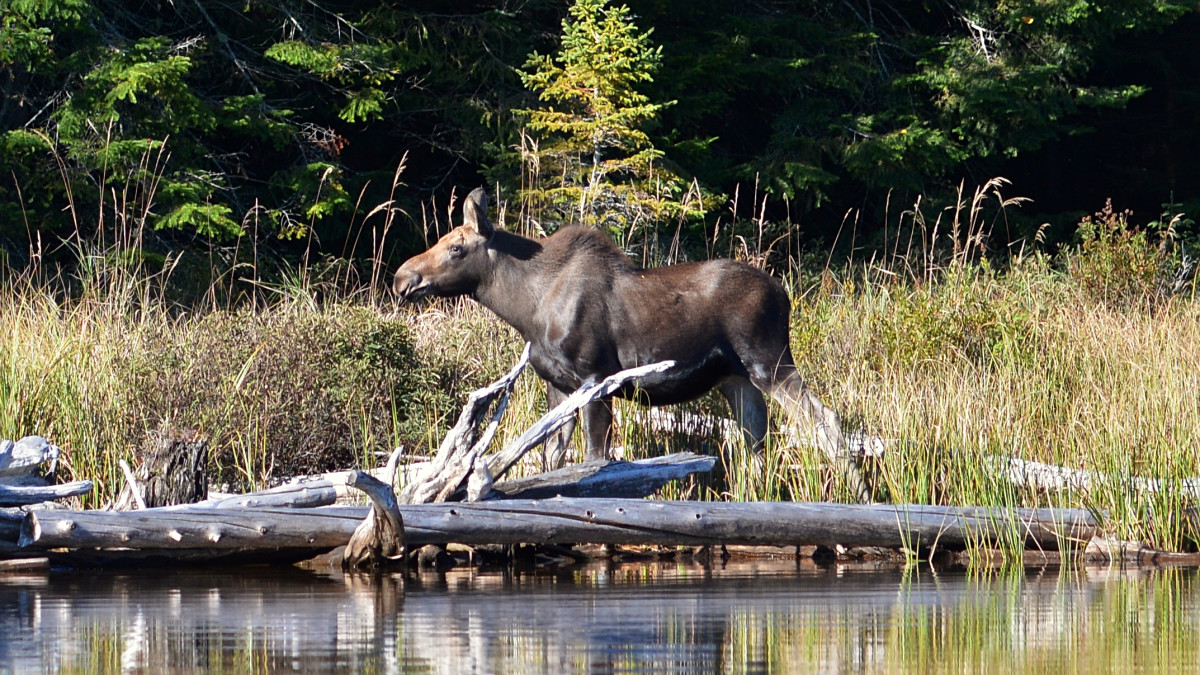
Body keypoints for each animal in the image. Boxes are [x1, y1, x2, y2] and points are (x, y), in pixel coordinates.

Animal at [398, 187, 868, 499]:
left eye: (456, 248)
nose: (403, 277)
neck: (526, 309)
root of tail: (785, 296)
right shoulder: (558, 387)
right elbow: (553, 459)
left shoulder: (594, 378)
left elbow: (595, 458)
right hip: (736, 379)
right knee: (756, 439)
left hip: (769, 362)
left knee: (825, 418)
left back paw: (860, 494)